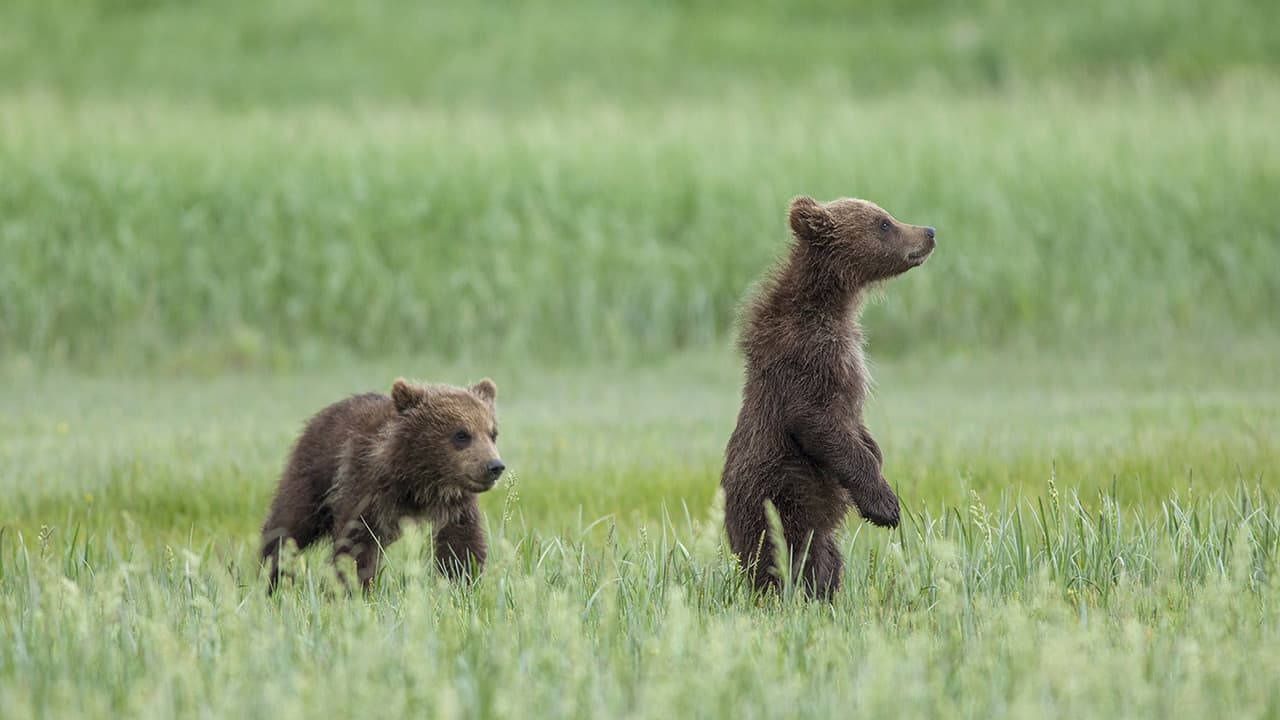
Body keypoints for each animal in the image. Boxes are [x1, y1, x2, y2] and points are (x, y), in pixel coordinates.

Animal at [260, 377, 505, 592]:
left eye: (492, 433)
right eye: (461, 434)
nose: (494, 466)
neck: (419, 483)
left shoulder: (455, 504)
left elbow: (461, 546)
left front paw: (463, 584)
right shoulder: (367, 490)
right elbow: (356, 544)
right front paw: (351, 589)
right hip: (313, 475)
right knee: (289, 526)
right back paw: (270, 577)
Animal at [720, 196, 936, 600]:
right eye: (884, 223)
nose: (928, 232)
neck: (832, 304)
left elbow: (857, 428)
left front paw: (877, 453)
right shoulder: (808, 360)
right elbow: (819, 423)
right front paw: (885, 506)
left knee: (827, 560)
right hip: (781, 503)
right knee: (792, 559)